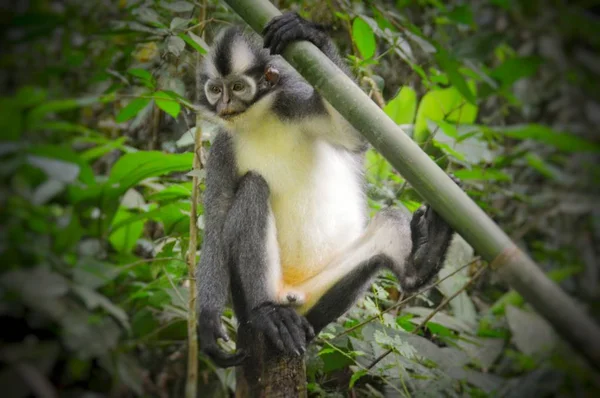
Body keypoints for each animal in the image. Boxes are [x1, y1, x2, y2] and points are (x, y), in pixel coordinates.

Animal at [195, 12, 458, 366]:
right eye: (215, 89)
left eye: (237, 87)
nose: (224, 104)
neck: (260, 119)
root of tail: (294, 296)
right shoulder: (222, 151)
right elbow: (217, 217)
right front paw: (208, 323)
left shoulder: (297, 105)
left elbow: (355, 133)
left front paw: (307, 32)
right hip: (256, 299)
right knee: (253, 188)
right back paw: (267, 312)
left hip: (321, 294)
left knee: (389, 229)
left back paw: (422, 263)